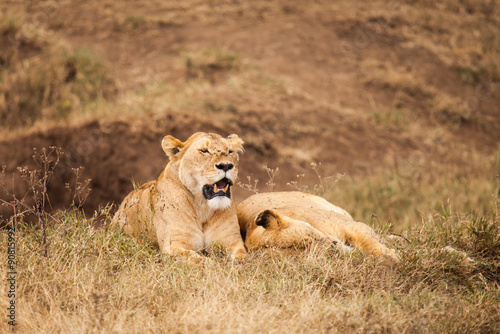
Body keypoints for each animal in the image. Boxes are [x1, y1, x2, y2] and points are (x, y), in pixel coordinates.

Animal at [112, 132, 247, 260]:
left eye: (230, 151)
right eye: (204, 151)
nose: (226, 165)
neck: (202, 207)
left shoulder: (232, 241)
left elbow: (243, 258)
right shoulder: (173, 245)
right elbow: (195, 259)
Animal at [236, 192, 400, 262]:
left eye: (311, 238)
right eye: (309, 254)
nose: (334, 247)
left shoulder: (350, 225)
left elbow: (369, 242)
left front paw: (389, 256)